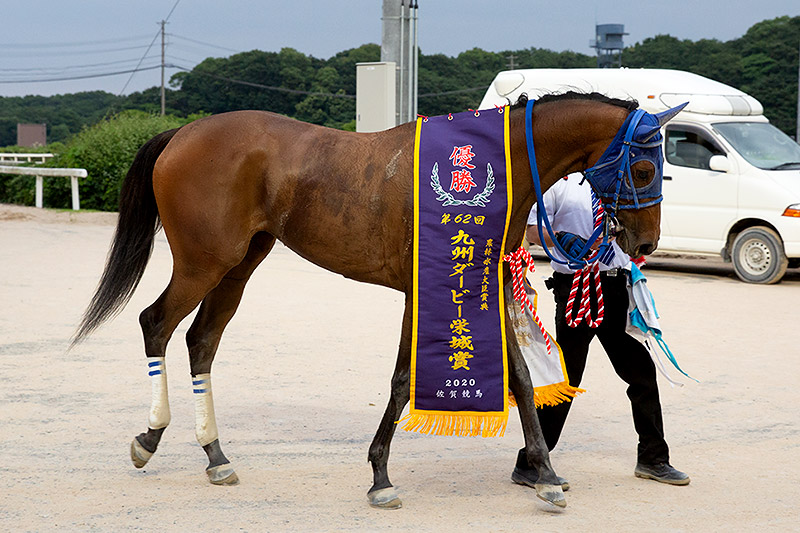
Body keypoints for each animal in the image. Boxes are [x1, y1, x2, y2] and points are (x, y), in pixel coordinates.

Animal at [72, 91, 676, 508]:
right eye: (646, 167)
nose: (646, 243)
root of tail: (183, 133)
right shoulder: (423, 290)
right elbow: (404, 379)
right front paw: (381, 477)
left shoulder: (484, 286)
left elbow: (523, 380)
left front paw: (546, 477)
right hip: (204, 262)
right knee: (156, 323)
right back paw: (150, 438)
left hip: (240, 265)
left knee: (201, 339)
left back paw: (216, 456)